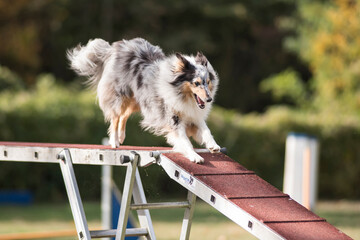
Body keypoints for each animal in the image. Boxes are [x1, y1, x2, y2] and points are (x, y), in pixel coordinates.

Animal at [66, 37, 221, 163]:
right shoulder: (173, 119)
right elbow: (185, 141)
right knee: (115, 118)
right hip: (121, 98)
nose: (209, 99)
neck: (182, 95)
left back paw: (121, 137)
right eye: (196, 83)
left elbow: (206, 130)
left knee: (124, 116)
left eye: (208, 82)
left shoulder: (193, 115)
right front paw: (195, 156)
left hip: (138, 100)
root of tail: (117, 47)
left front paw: (213, 145)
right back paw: (115, 141)